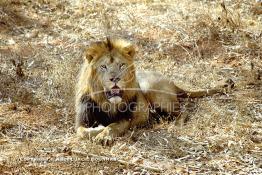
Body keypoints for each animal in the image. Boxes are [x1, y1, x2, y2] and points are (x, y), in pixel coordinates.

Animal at [75, 38, 233, 145]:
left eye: (121, 65)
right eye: (103, 67)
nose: (115, 79)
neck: (106, 102)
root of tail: (171, 82)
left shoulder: (126, 119)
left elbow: (112, 126)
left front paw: (103, 135)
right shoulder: (82, 121)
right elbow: (81, 132)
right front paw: (97, 130)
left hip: (150, 89)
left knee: (183, 112)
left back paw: (175, 124)